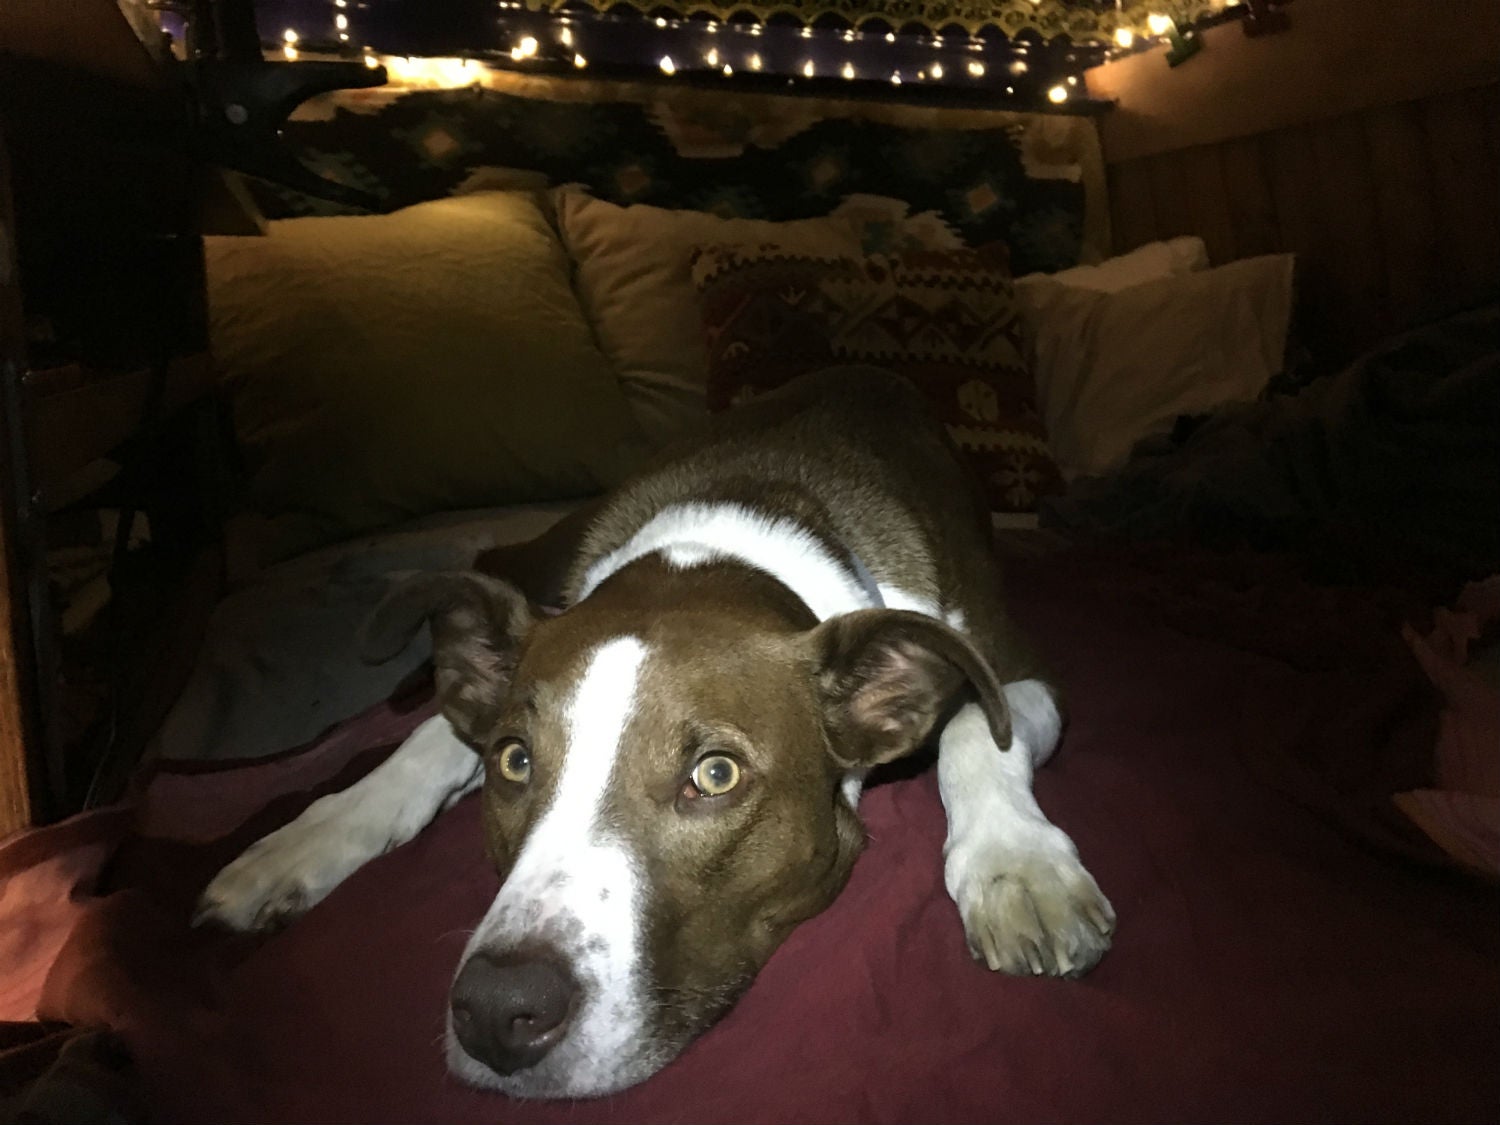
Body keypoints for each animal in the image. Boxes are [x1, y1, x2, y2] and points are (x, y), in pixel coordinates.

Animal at [190, 370, 1116, 1104]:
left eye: (715, 775)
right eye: (517, 762)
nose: (495, 1012)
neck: (738, 536)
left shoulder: (1018, 672)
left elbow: (976, 732)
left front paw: (1018, 867)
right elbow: (432, 742)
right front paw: (303, 841)